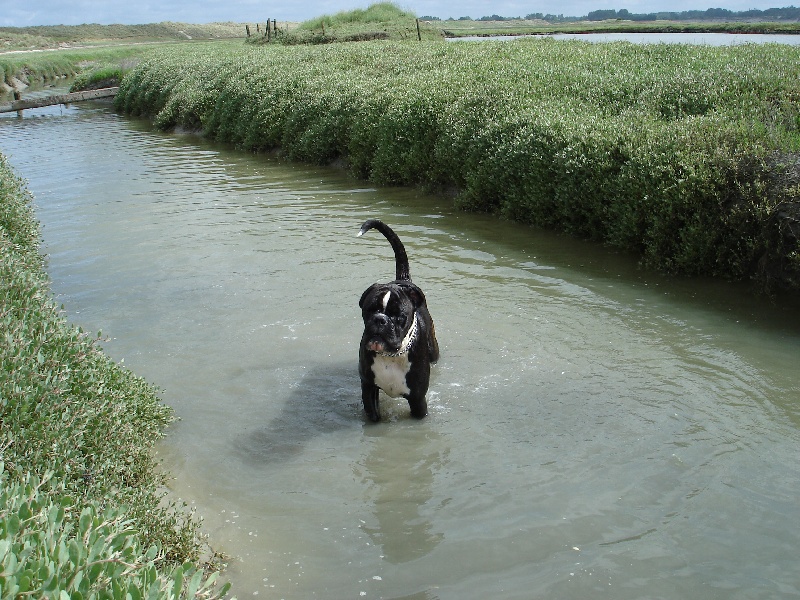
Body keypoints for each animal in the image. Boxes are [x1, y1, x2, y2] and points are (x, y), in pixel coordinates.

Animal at [360, 220, 440, 422]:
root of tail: (402, 280)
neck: (391, 356)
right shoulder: (368, 391)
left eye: (399, 315)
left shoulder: (417, 400)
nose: (380, 319)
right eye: (369, 310)